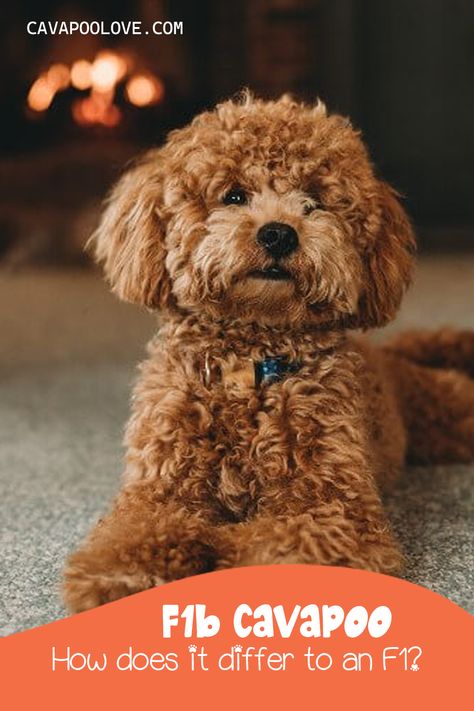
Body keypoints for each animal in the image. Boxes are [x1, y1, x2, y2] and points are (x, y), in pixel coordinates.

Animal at [63, 93, 474, 612]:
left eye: (314, 201)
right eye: (234, 196)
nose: (278, 233)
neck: (251, 364)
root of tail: (386, 353)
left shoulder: (332, 511)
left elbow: (271, 545)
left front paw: (215, 552)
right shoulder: (158, 493)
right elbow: (133, 536)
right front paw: (126, 577)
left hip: (444, 409)